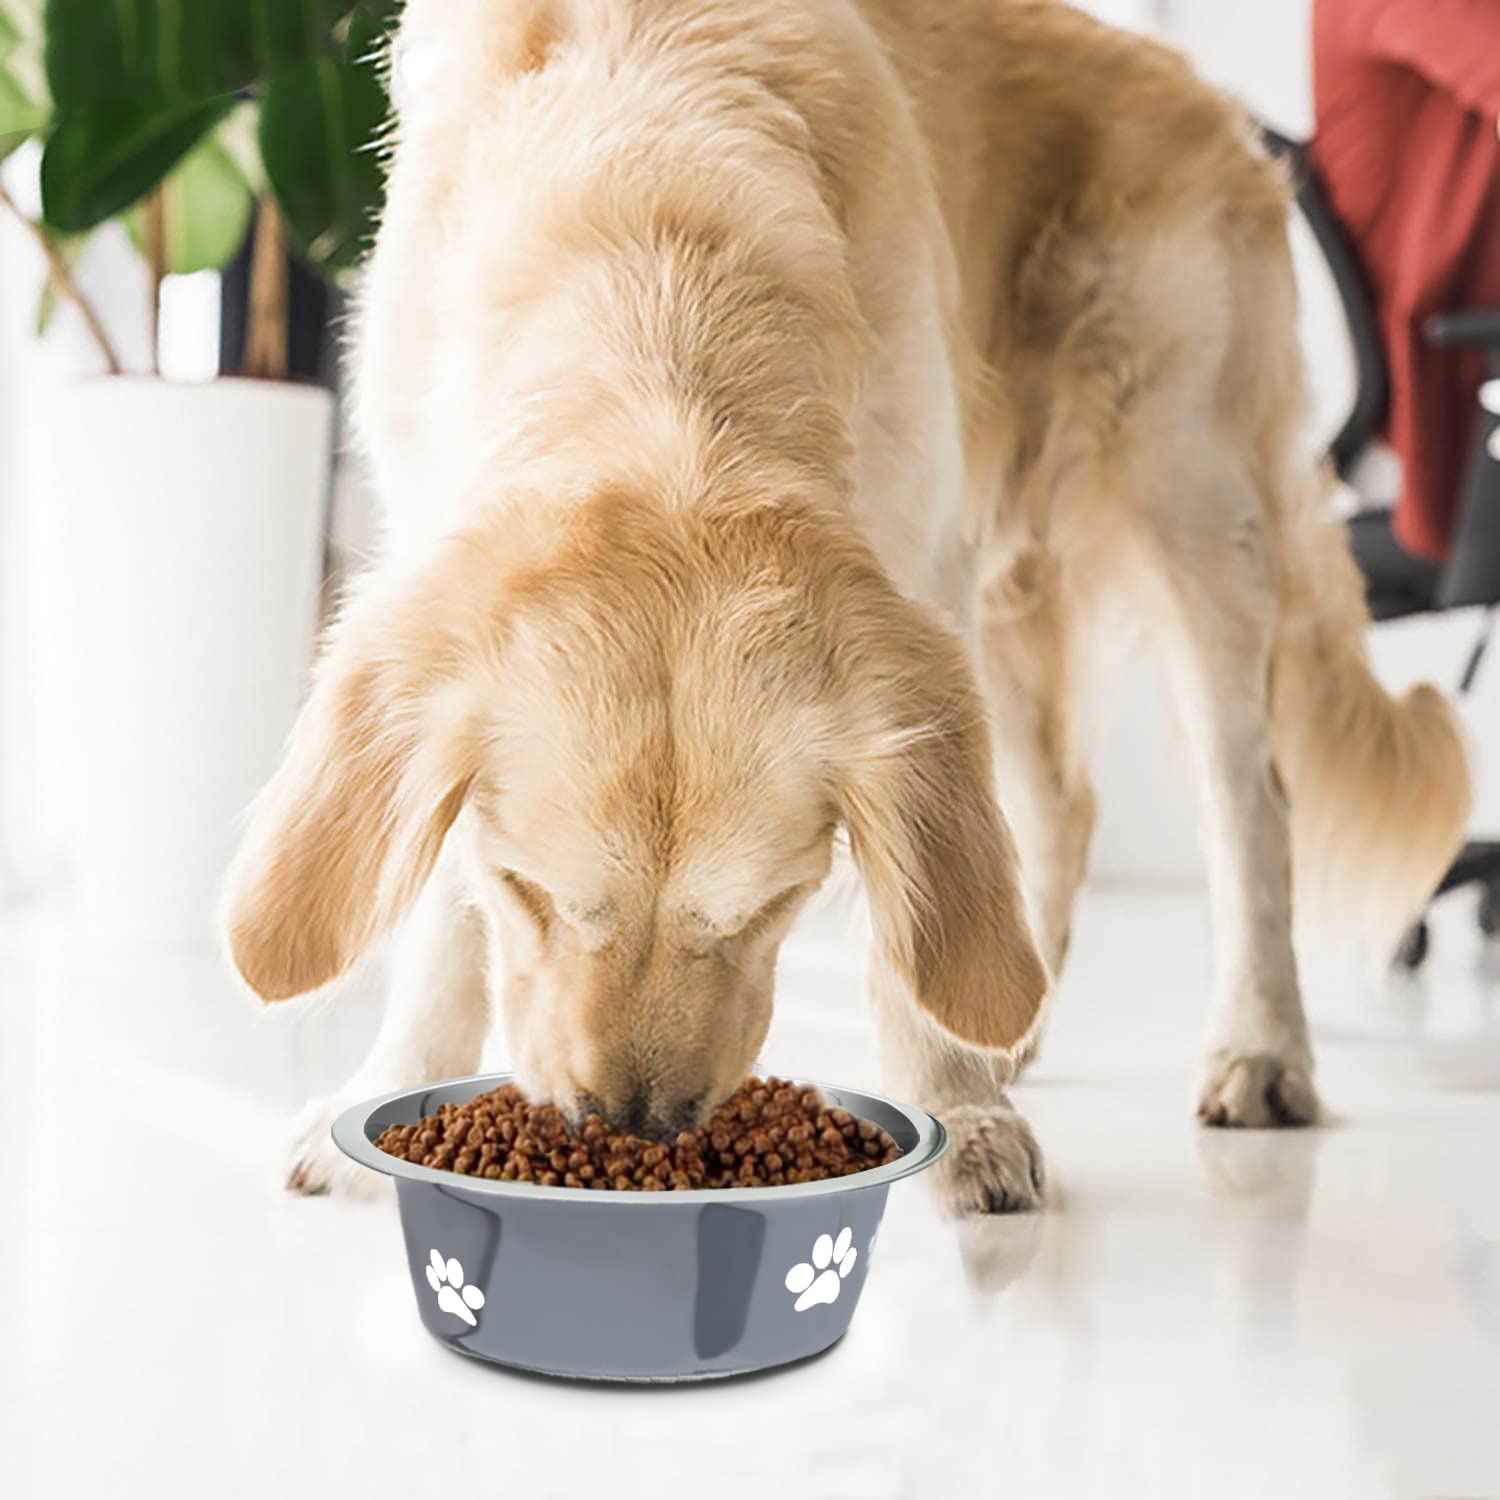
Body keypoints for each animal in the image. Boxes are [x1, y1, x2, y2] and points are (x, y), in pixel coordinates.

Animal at [219, 0, 1464, 1206]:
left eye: (770, 907)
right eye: (533, 893)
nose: (635, 1131)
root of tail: (1216, 99)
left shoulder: (921, 571)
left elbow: (910, 899)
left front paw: (959, 1116)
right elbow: (441, 906)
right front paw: (379, 1101)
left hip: (1192, 501)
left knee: (1250, 807)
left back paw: (1258, 1050)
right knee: (1060, 804)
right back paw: (1020, 1021)